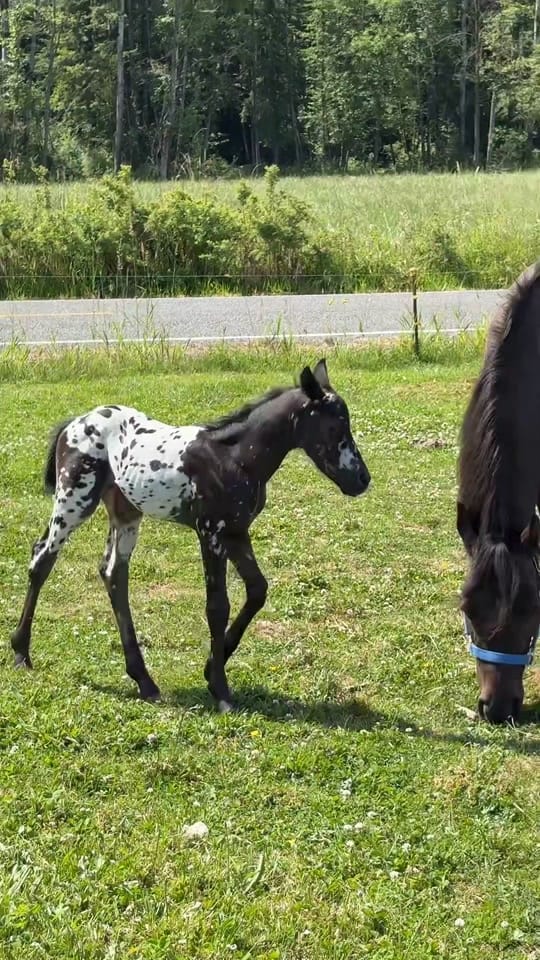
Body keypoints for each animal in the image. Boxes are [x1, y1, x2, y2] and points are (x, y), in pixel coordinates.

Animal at [11, 359, 371, 712]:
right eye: (336, 427)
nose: (362, 480)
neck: (234, 458)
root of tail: (74, 423)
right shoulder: (210, 532)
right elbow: (217, 606)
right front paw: (221, 690)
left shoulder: (236, 533)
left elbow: (257, 590)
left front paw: (212, 668)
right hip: (74, 500)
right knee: (42, 558)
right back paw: (20, 653)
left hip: (126, 515)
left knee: (113, 574)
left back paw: (144, 681)